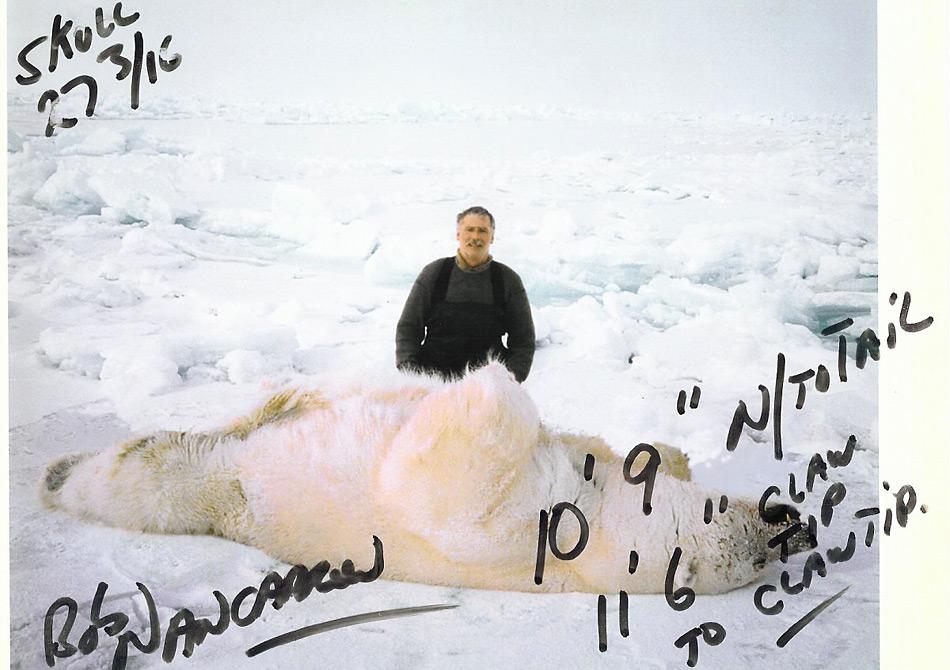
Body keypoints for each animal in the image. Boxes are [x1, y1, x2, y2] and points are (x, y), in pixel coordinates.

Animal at [41, 364, 808, 596]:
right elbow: (592, 445)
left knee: (142, 475)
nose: (793, 524)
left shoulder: (511, 528)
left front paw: (491, 384)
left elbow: (439, 473)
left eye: (745, 560)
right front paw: (660, 452)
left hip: (208, 486)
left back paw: (57, 472)